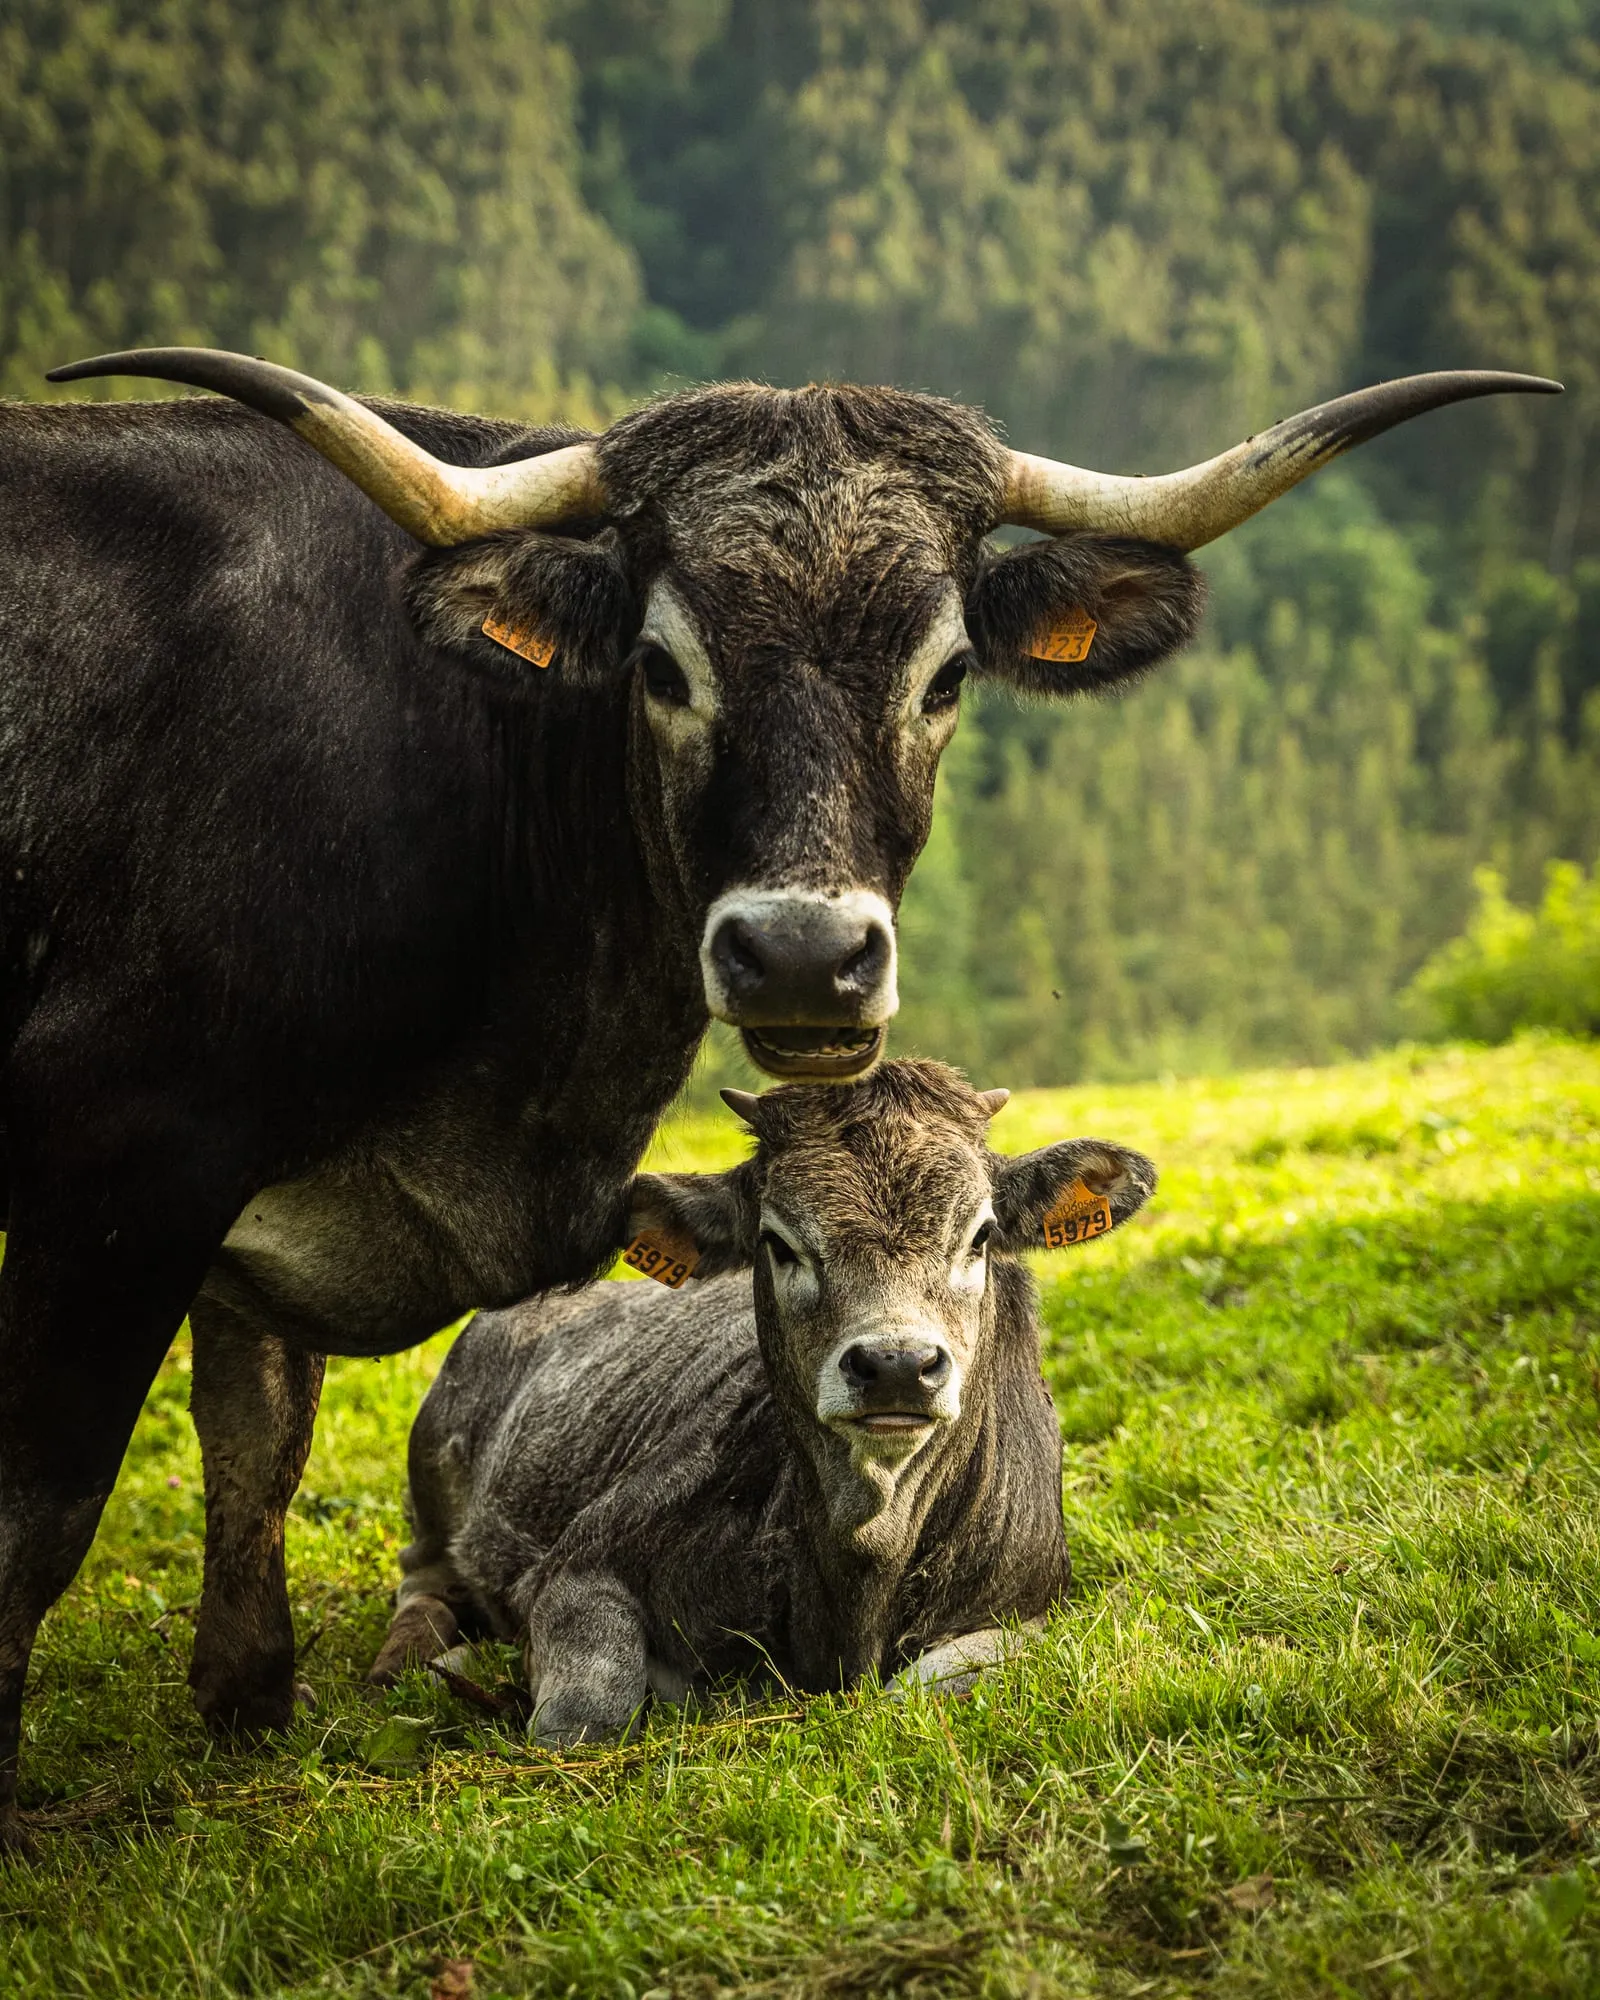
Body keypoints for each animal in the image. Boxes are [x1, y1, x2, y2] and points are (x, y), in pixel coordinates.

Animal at [366, 1061, 1156, 1734]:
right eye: (779, 1242)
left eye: (981, 1234)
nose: (896, 1365)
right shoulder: (575, 1566)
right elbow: (586, 1714)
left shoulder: (1029, 1606)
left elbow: (922, 1688)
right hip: (430, 1481)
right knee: (422, 1581)